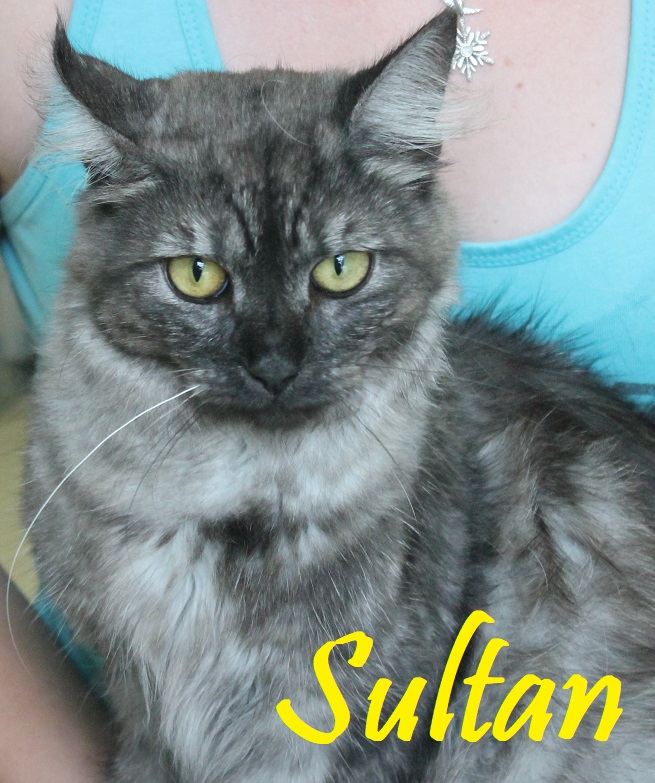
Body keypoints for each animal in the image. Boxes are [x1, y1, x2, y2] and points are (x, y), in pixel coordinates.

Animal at [24, 10, 655, 782]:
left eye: (341, 269)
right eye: (197, 275)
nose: (274, 363)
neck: (228, 509)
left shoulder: (359, 723)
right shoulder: (142, 717)